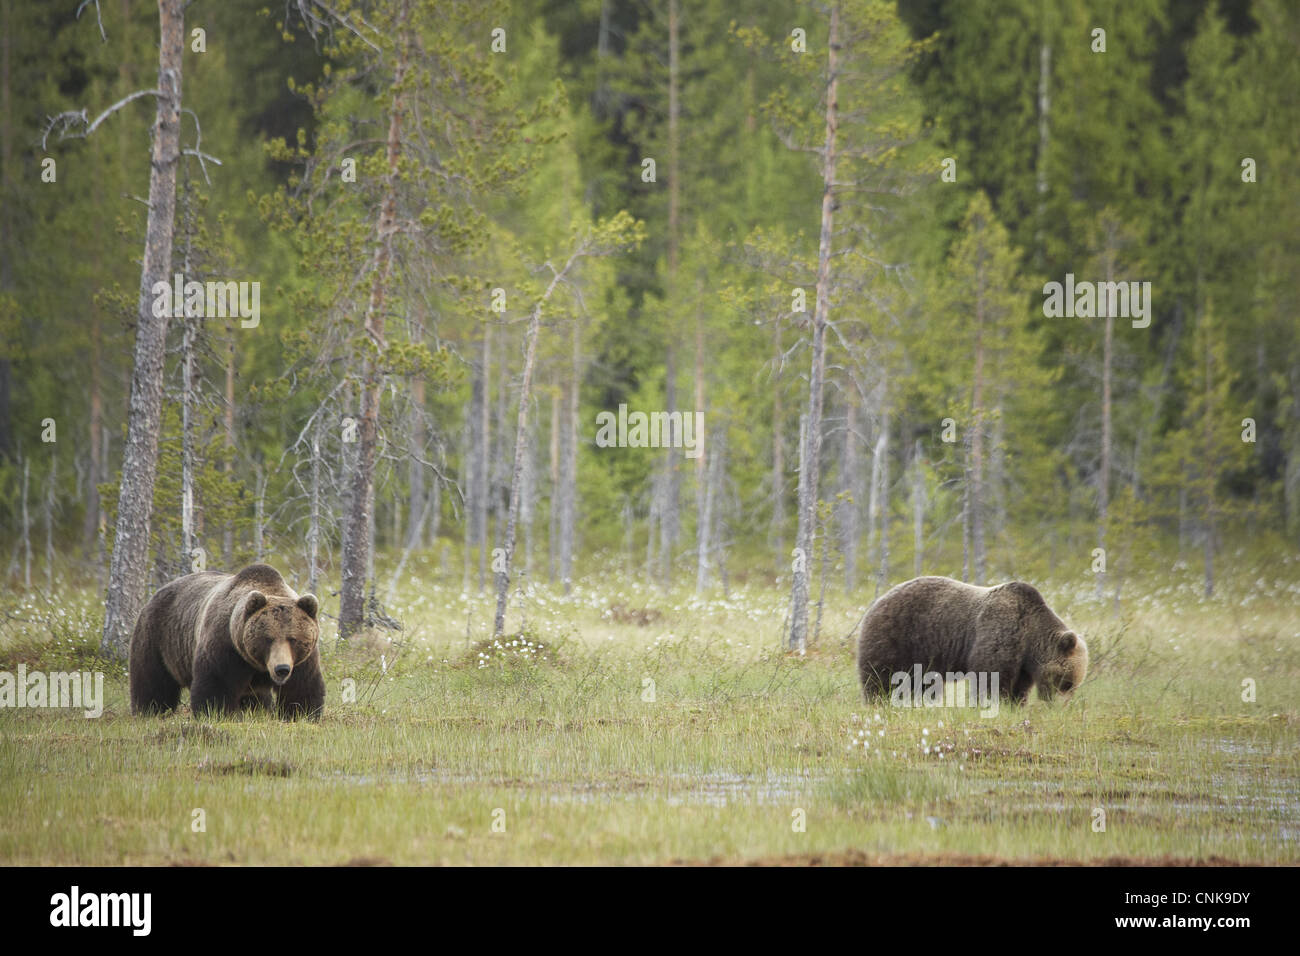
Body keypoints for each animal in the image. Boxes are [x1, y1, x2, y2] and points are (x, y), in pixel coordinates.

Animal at [129, 563, 325, 719]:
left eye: (293, 639)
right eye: (268, 639)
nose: (281, 669)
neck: (258, 665)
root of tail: (157, 592)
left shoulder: (302, 661)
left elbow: (301, 688)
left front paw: (302, 713)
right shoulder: (225, 647)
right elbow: (217, 683)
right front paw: (216, 712)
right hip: (158, 637)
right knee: (153, 679)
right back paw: (149, 710)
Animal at [856, 576, 1087, 704]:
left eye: (1073, 685)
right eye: (1066, 683)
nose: (1058, 705)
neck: (1030, 637)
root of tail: (878, 601)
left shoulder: (1023, 660)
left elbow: (1019, 686)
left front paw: (1015, 705)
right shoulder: (1001, 631)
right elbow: (991, 674)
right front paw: (992, 703)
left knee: (920, 683)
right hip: (897, 637)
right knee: (882, 676)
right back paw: (879, 700)